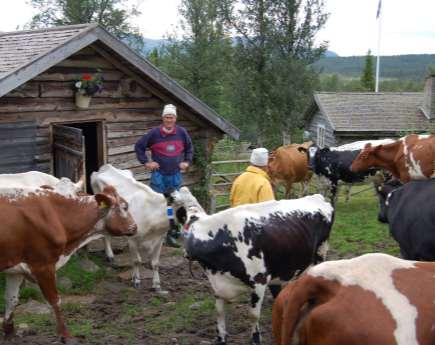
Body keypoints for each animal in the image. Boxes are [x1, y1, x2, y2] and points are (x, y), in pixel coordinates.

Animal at [0, 181, 136, 342]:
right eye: (125, 207)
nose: (135, 227)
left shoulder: (15, 268)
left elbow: (12, 299)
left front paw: (9, 332)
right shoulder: (43, 265)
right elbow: (54, 300)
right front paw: (65, 335)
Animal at [170, 188, 334, 344]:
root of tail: (316, 197)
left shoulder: (259, 282)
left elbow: (253, 315)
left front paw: (255, 339)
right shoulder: (218, 284)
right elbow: (219, 312)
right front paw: (221, 339)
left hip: (320, 253)